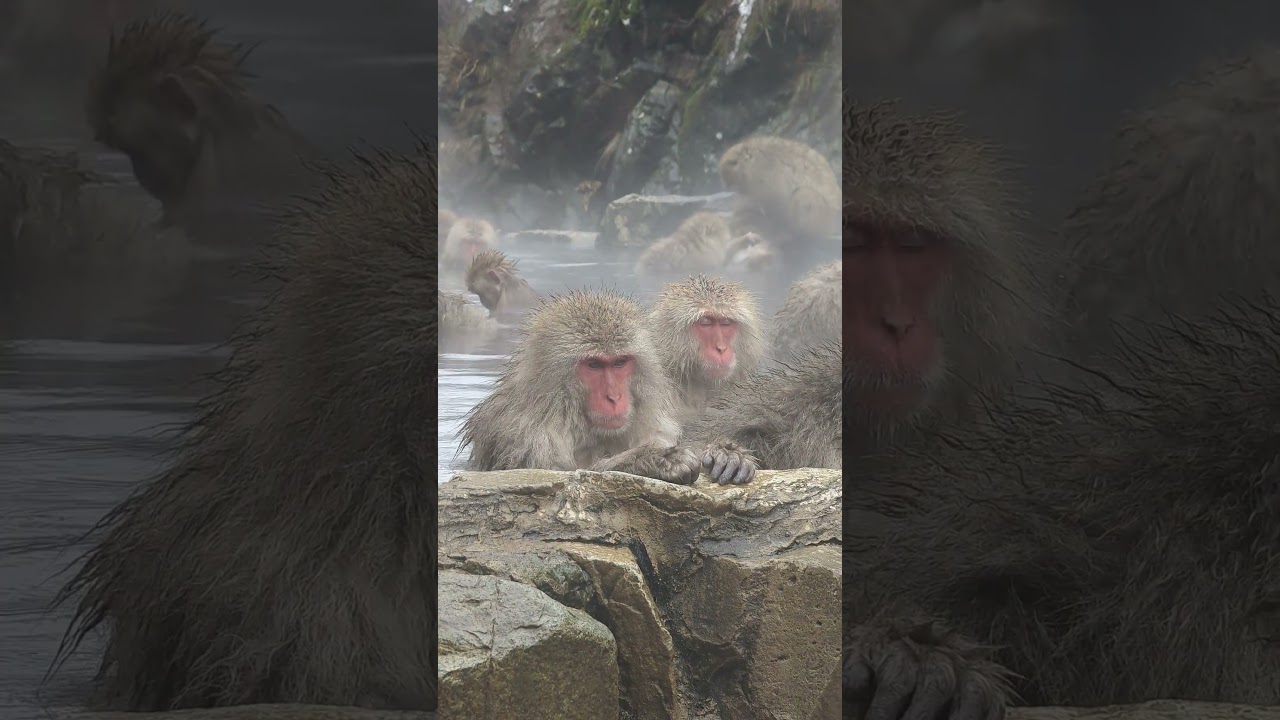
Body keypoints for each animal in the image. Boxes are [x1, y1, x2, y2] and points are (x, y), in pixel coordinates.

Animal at [460, 288, 720, 486]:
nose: (614, 397)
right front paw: (651, 459)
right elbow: (556, 474)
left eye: (619, 362)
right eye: (594, 365)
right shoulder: (524, 436)